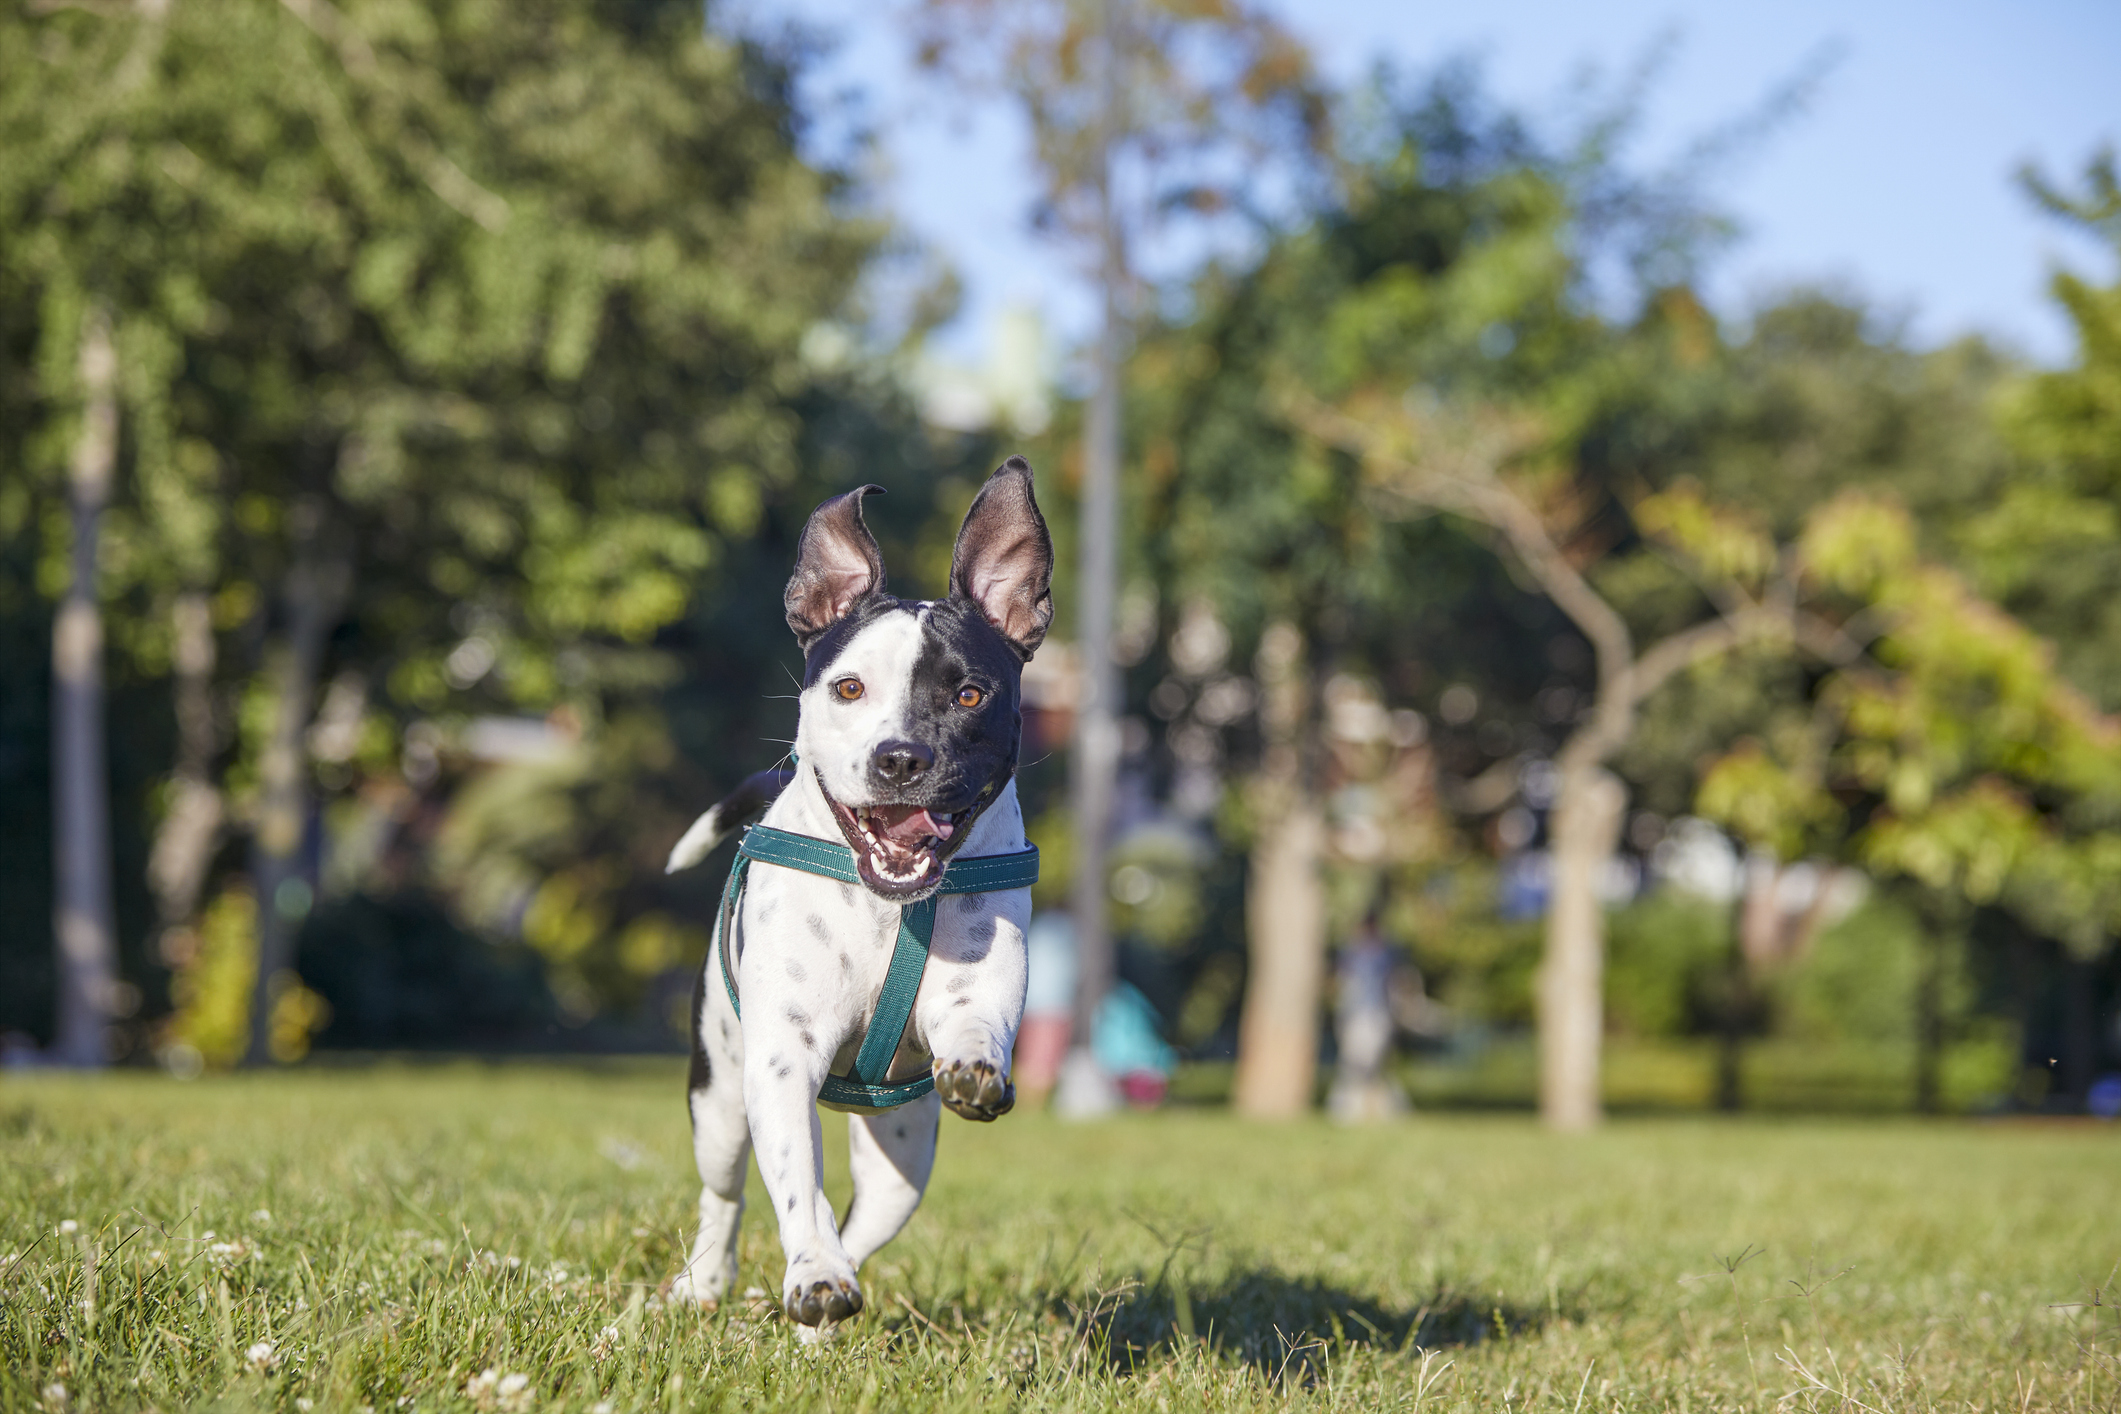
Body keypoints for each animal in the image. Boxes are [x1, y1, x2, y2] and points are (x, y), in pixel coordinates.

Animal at [661, 455, 1052, 1331]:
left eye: (969, 694)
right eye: (847, 689)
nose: (900, 757)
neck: (885, 909)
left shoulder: (972, 991)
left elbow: (973, 1025)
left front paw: (977, 1069)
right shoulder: (780, 1065)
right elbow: (793, 1185)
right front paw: (811, 1273)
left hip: (901, 1160)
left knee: (860, 1223)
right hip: (718, 1103)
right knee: (728, 1193)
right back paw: (709, 1281)